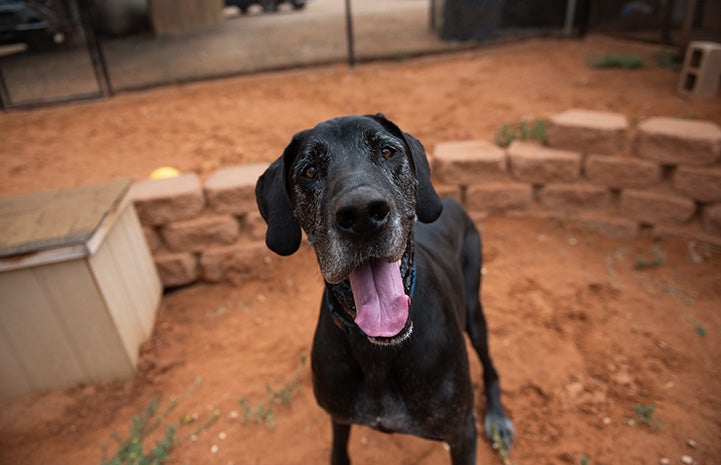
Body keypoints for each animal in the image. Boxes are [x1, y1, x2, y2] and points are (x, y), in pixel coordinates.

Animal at [256, 113, 516, 464]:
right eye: (309, 170)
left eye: (387, 151)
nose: (363, 214)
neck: (377, 350)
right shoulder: (339, 418)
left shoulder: (461, 434)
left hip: (474, 314)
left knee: (489, 366)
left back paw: (497, 418)